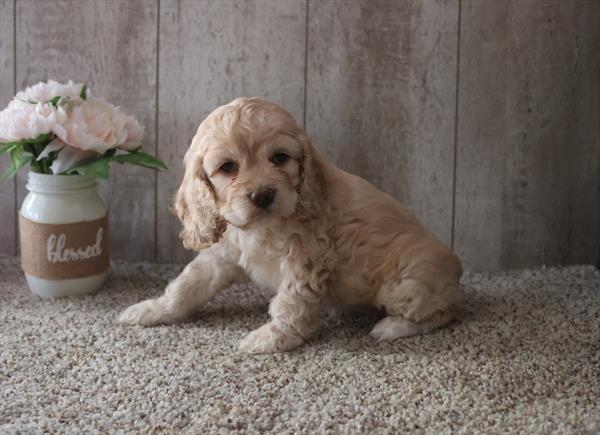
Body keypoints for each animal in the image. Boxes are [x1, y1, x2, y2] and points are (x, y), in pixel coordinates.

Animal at [119, 97, 462, 352]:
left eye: (280, 158)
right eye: (227, 167)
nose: (262, 195)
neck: (261, 227)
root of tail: (456, 271)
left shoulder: (306, 260)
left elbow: (289, 303)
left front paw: (270, 338)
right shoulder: (222, 255)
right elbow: (187, 285)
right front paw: (153, 309)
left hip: (402, 285)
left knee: (442, 313)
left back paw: (392, 326)